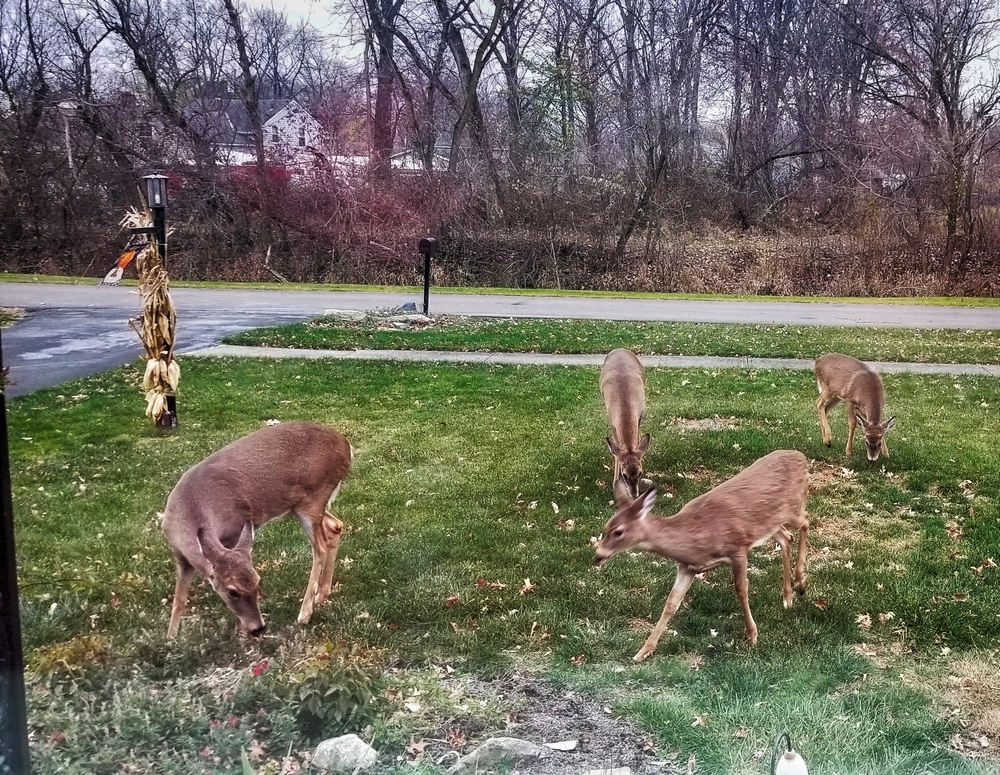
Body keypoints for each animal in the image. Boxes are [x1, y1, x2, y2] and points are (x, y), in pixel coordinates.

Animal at [162, 421, 353, 639]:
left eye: (258, 582)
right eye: (233, 592)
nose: (259, 628)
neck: (189, 509)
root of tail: (347, 447)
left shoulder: (233, 531)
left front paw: (240, 630)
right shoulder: (180, 557)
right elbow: (179, 599)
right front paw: (170, 638)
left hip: (314, 498)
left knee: (320, 547)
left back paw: (304, 613)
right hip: (300, 506)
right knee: (335, 526)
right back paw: (321, 594)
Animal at [593, 449, 810, 662]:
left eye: (618, 532)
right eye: (605, 527)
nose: (597, 556)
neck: (695, 537)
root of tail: (801, 456)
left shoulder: (737, 548)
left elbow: (741, 589)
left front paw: (752, 634)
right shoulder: (687, 566)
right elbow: (671, 603)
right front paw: (643, 651)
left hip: (793, 509)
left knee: (805, 522)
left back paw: (800, 583)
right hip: (770, 523)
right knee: (786, 537)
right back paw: (788, 597)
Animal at [600, 348, 651, 498]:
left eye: (640, 473)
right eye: (624, 475)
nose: (634, 495)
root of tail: (619, 349)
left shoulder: (640, 415)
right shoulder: (612, 421)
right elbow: (616, 452)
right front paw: (615, 483)